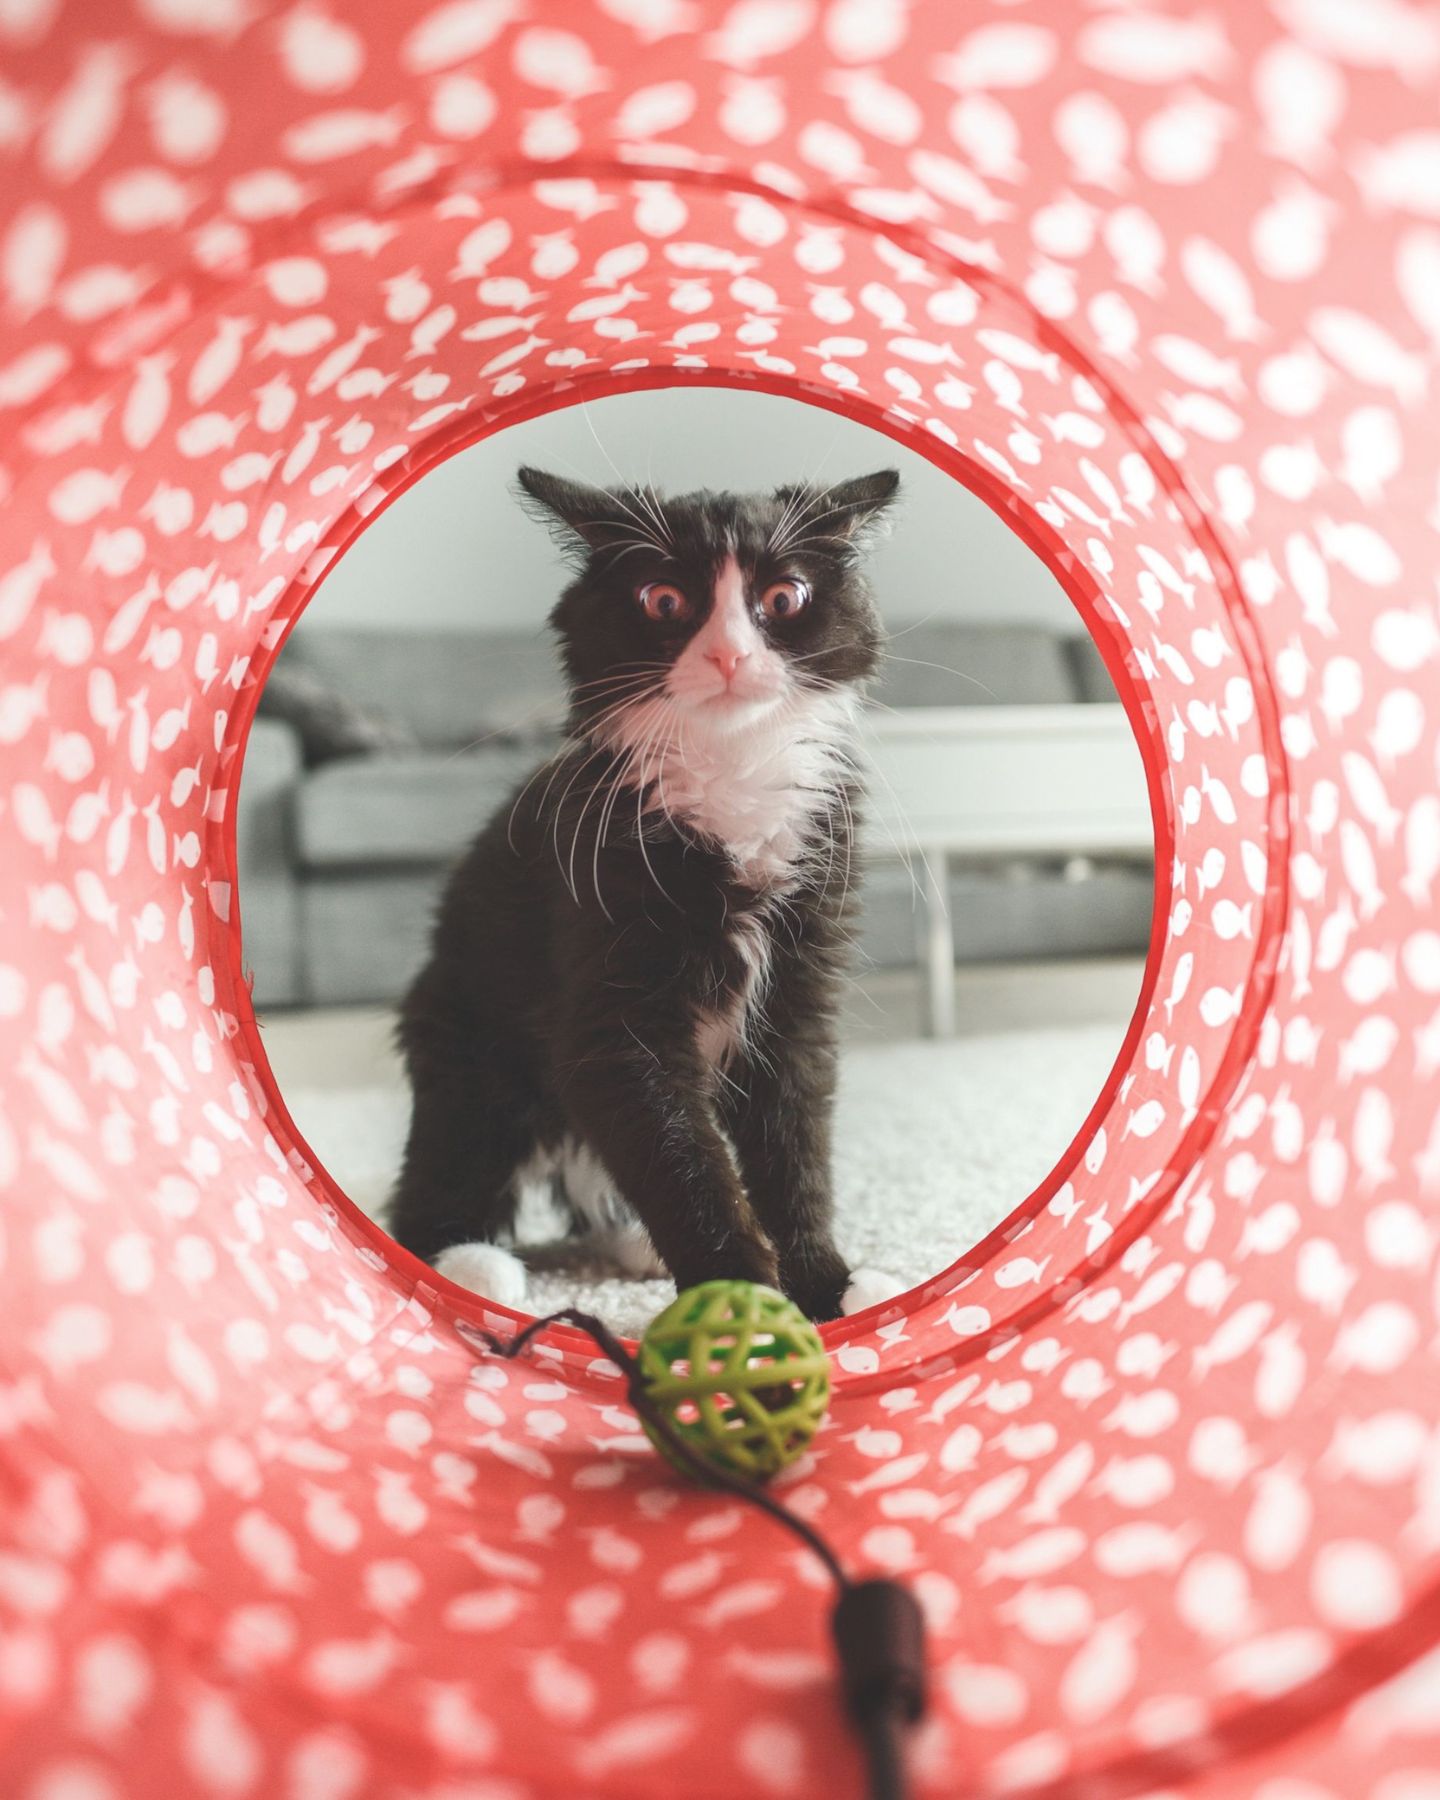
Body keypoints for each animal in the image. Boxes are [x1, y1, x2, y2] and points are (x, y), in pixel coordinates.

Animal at [388, 464, 907, 1324]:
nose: (729, 655)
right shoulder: (612, 1010)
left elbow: (794, 1146)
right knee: (438, 1175)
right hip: (468, 1047)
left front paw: (828, 1285)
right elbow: (678, 1155)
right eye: (663, 600)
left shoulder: (800, 989)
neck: (729, 772)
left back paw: (633, 1244)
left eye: (785, 598)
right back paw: (468, 1264)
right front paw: (741, 1300)